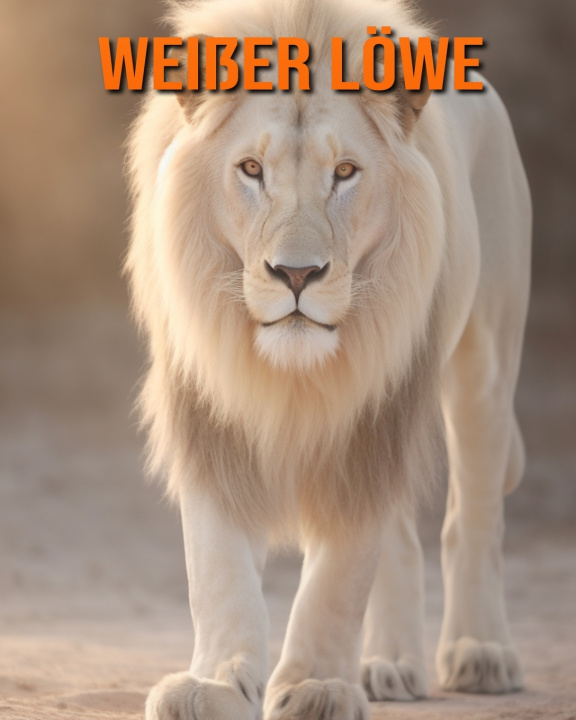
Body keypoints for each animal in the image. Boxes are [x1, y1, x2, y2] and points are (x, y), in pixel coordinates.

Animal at [126, 0, 531, 717]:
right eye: (250, 170)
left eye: (344, 172)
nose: (296, 274)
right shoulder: (205, 403)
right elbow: (216, 565)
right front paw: (215, 681)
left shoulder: (377, 414)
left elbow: (341, 575)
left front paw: (315, 684)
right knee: (401, 537)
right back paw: (389, 664)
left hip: (483, 363)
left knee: (472, 520)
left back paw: (480, 653)